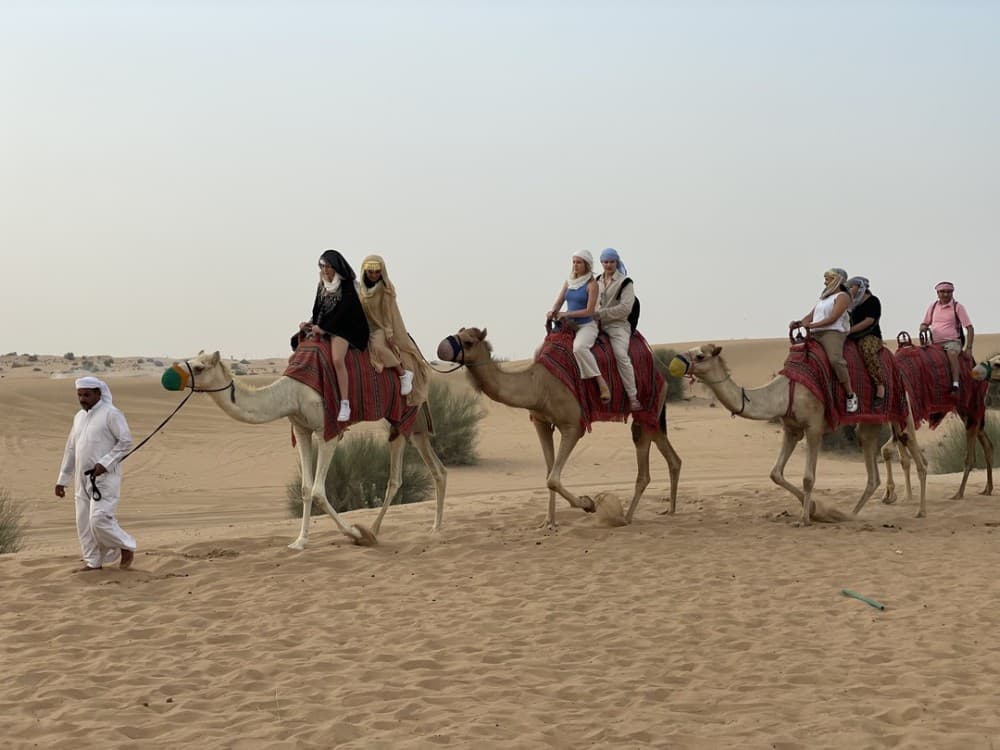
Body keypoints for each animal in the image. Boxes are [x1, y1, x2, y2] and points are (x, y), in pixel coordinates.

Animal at [165, 351, 447, 549]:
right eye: (190, 359)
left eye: (199, 367)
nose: (171, 376)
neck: (290, 393)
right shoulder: (301, 429)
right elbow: (304, 488)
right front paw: (300, 541)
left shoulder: (327, 431)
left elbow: (319, 491)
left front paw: (356, 533)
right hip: (416, 426)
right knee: (438, 469)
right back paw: (435, 527)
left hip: (402, 418)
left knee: (395, 479)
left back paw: (373, 532)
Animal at [435, 327, 681, 528]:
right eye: (457, 332)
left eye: (468, 342)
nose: (441, 348)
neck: (538, 385)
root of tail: (662, 376)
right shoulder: (541, 422)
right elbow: (549, 473)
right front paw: (549, 522)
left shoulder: (573, 425)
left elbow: (553, 478)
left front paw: (588, 503)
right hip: (655, 417)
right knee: (673, 459)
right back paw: (669, 510)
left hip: (645, 410)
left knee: (644, 468)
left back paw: (626, 518)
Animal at [669, 343, 927, 523]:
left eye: (700, 355)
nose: (677, 360)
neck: (783, 393)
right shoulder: (791, 429)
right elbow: (775, 473)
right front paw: (814, 509)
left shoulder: (814, 427)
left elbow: (808, 477)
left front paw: (805, 518)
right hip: (868, 425)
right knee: (873, 474)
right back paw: (849, 514)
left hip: (902, 415)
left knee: (919, 459)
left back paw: (920, 511)